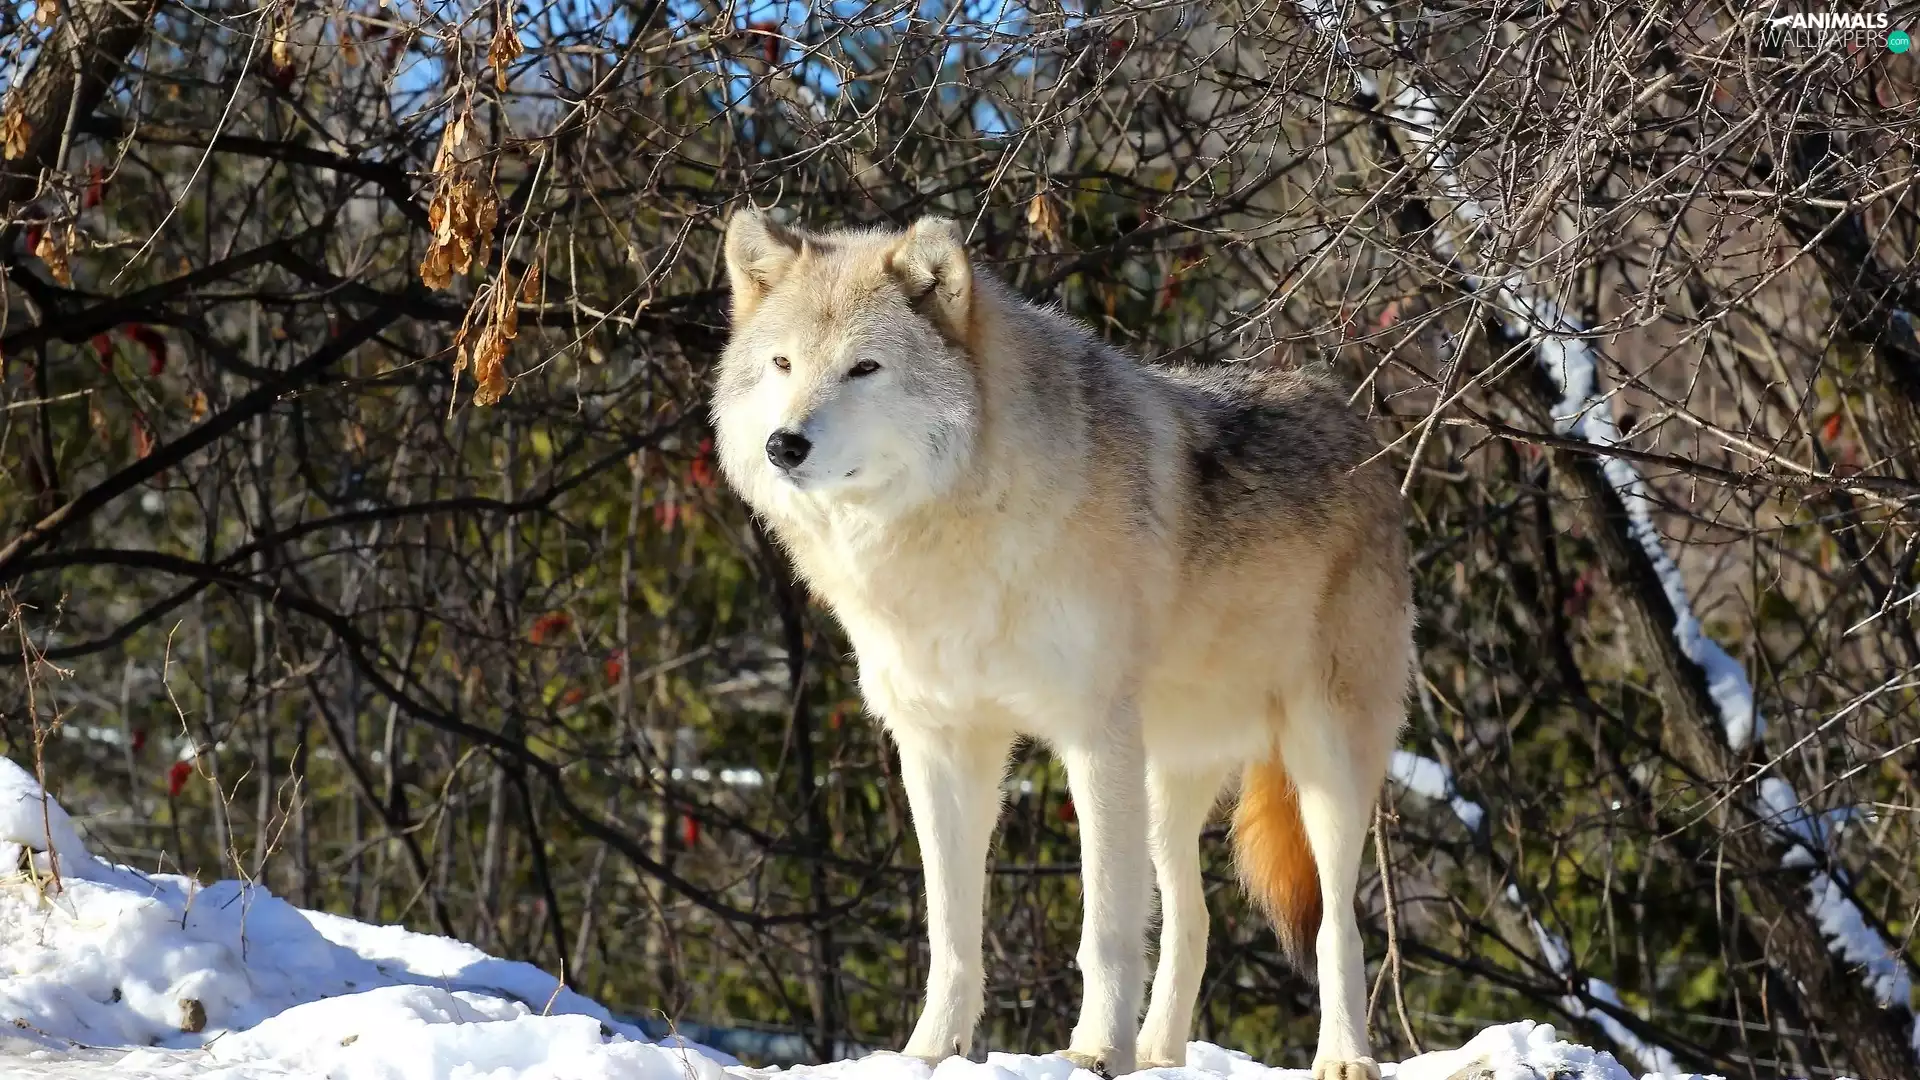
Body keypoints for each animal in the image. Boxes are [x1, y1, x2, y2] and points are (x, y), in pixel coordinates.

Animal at [709, 210, 1412, 1080]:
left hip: (1322, 765)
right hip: (1166, 782)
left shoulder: (1094, 736)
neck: (952, 531)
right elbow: (952, 934)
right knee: (1193, 923)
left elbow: (1103, 928)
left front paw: (1094, 1050)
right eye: (782, 364)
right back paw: (1159, 1058)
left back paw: (1342, 1057)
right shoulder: (941, 745)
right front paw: (929, 1054)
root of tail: (1355, 418)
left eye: (864, 368)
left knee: (1337, 926)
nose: (785, 444)